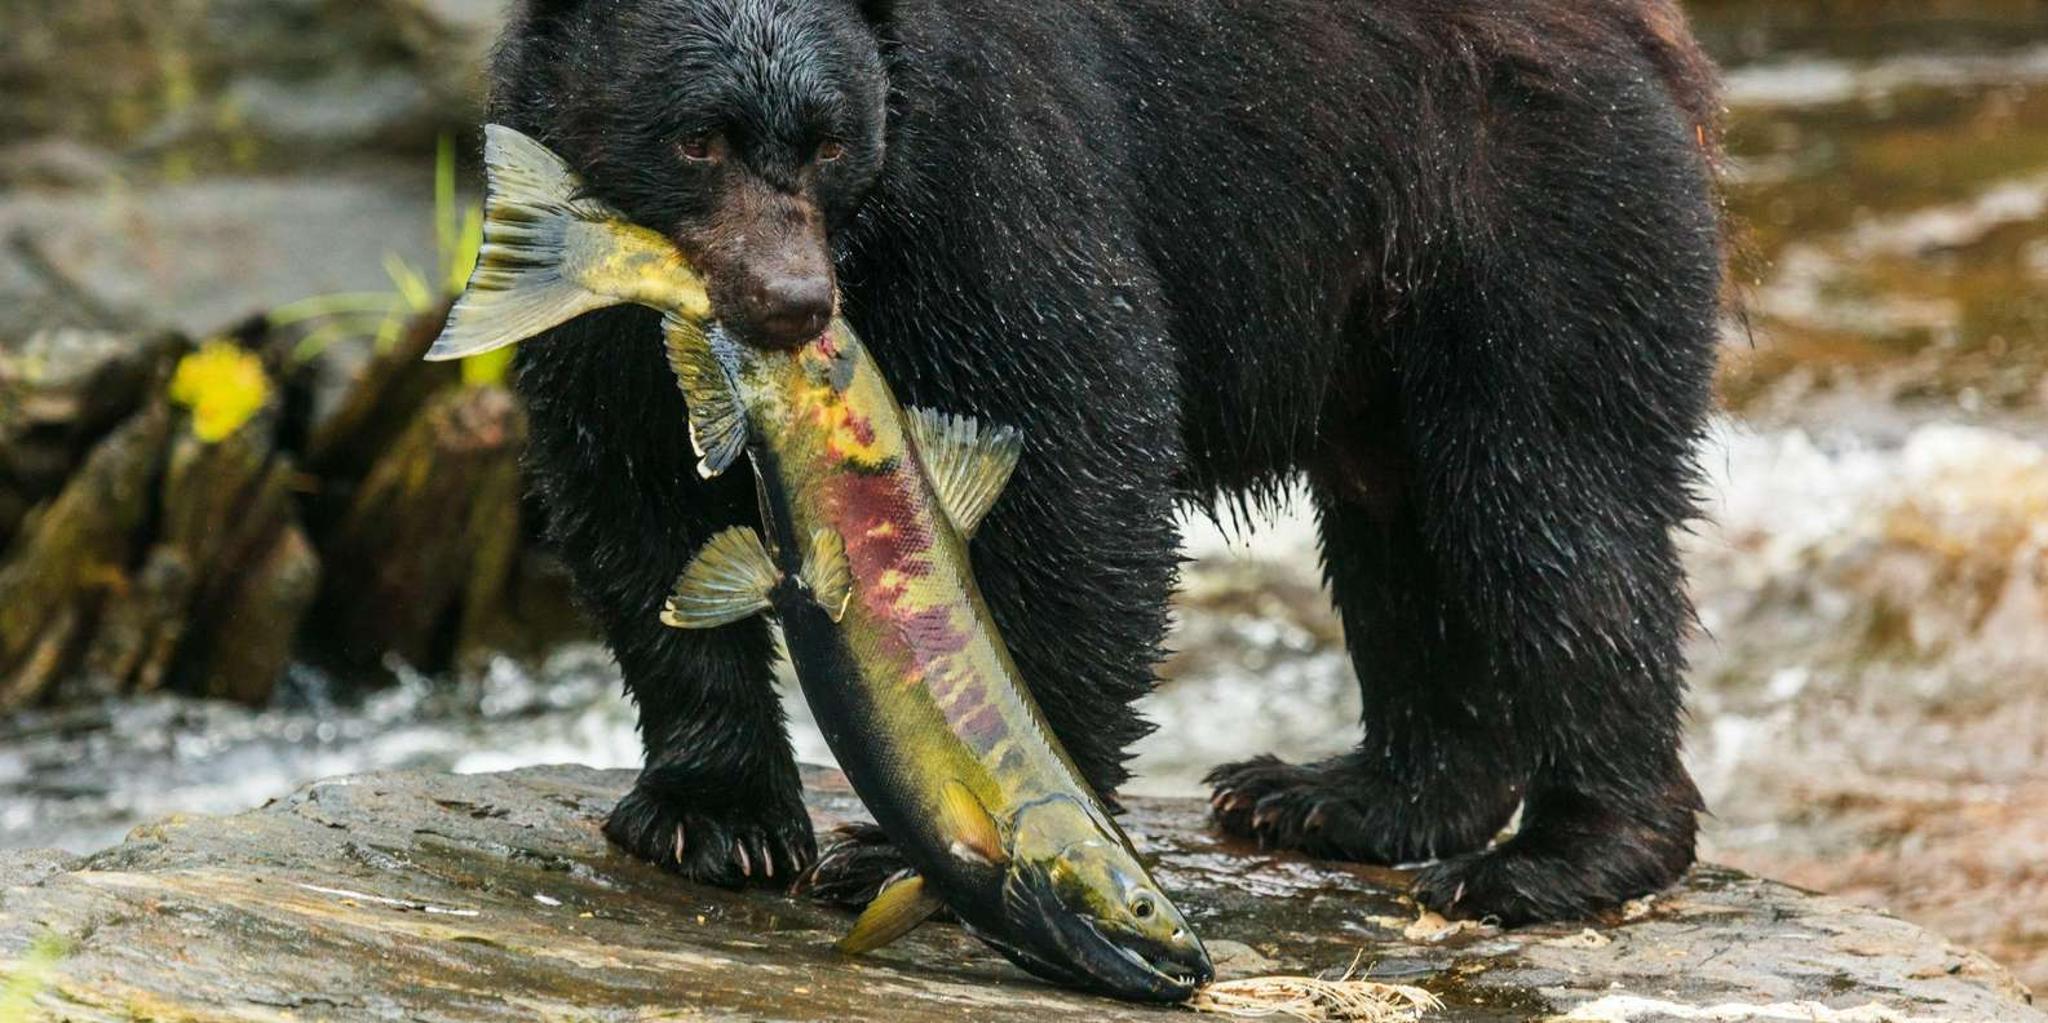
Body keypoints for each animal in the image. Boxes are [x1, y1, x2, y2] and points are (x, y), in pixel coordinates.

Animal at [491, 0, 1725, 925]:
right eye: (697, 136)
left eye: (830, 140)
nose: (791, 302)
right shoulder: (582, 258)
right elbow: (630, 481)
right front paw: (716, 818)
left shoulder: (989, 161)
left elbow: (1076, 438)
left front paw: (941, 836)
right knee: (1400, 528)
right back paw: (1345, 796)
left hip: (1525, 208)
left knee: (1551, 505)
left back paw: (1558, 855)